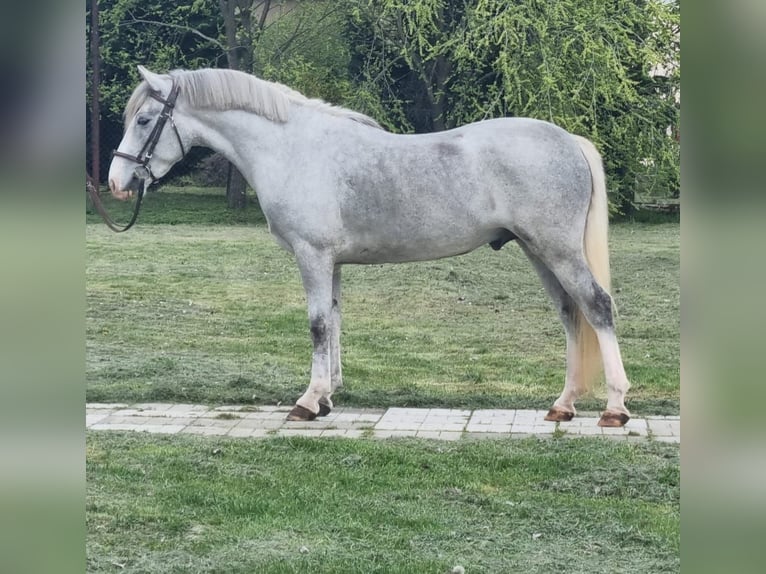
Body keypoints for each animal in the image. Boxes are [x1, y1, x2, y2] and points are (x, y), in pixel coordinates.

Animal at [108, 66, 632, 427]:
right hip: (538, 251)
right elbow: (334, 320)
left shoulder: (312, 255)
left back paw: (614, 407)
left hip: (557, 250)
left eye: (146, 120)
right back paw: (563, 405)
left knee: (597, 307)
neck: (292, 148)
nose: (116, 181)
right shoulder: (331, 262)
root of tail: (569, 140)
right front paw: (327, 397)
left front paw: (307, 401)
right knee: (570, 314)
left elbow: (318, 325)